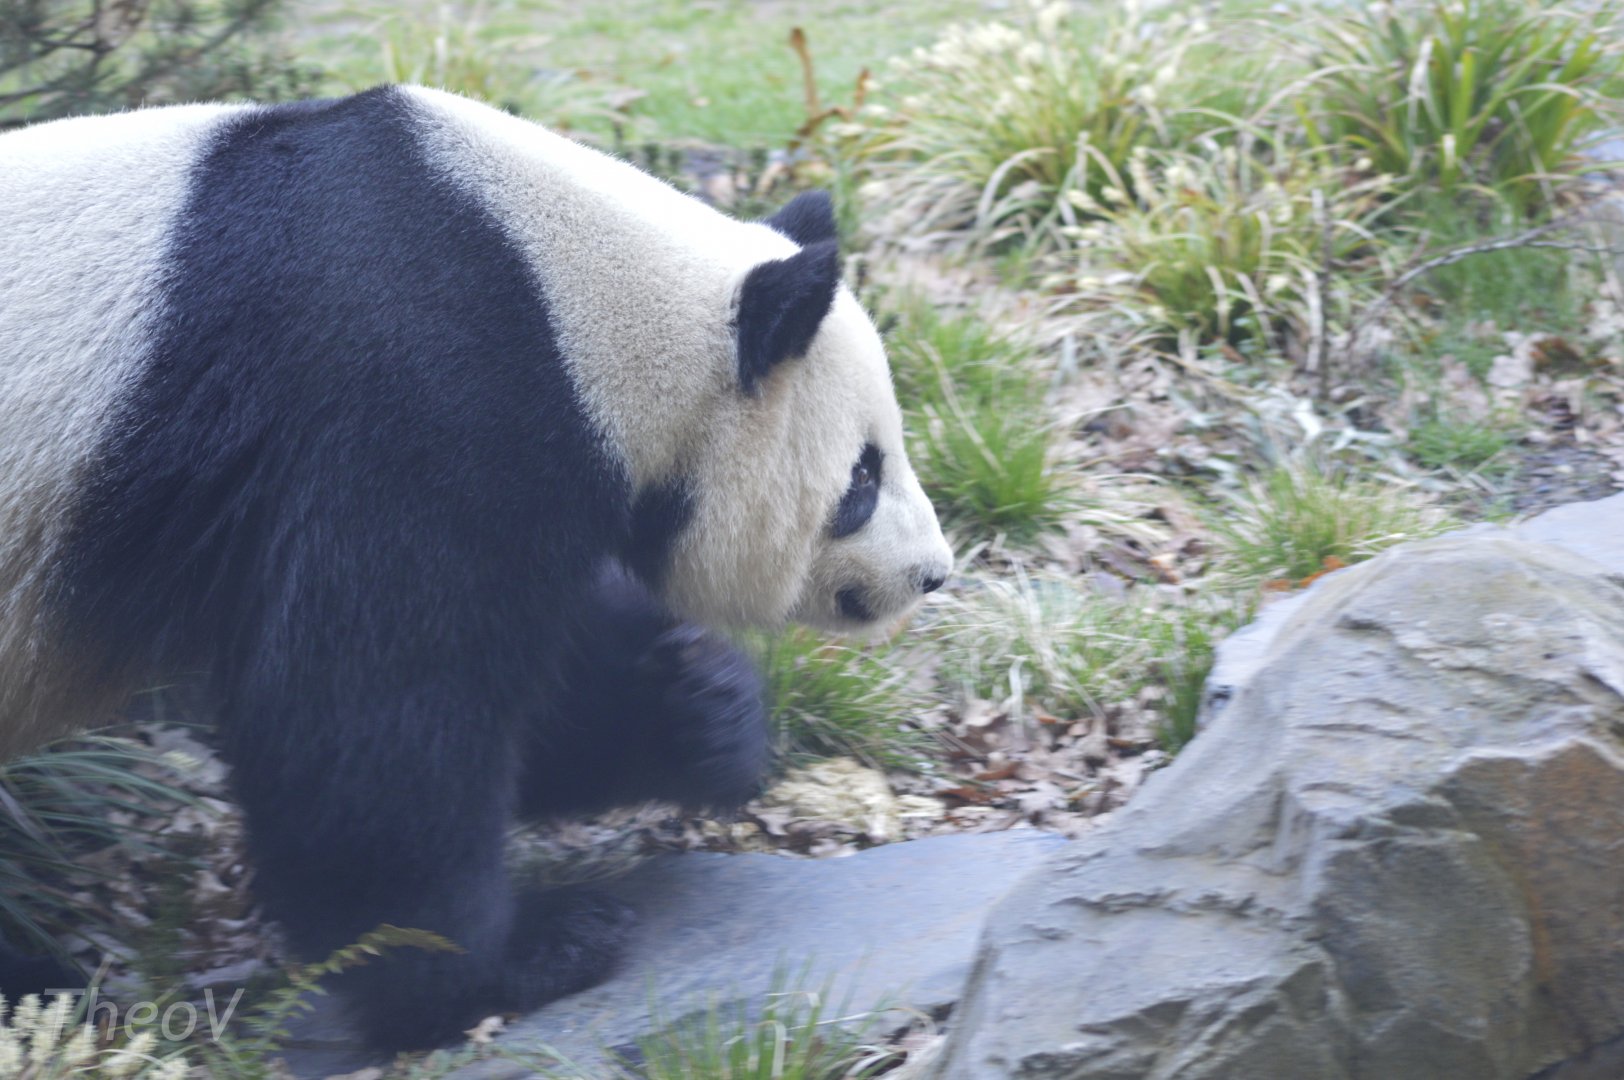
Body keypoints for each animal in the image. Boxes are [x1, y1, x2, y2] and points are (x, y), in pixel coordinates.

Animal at [0, 85, 953, 1050]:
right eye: (863, 477)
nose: (932, 573)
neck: (570, 296)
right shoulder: (404, 391)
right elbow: (372, 709)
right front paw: (514, 958)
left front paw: (703, 708)